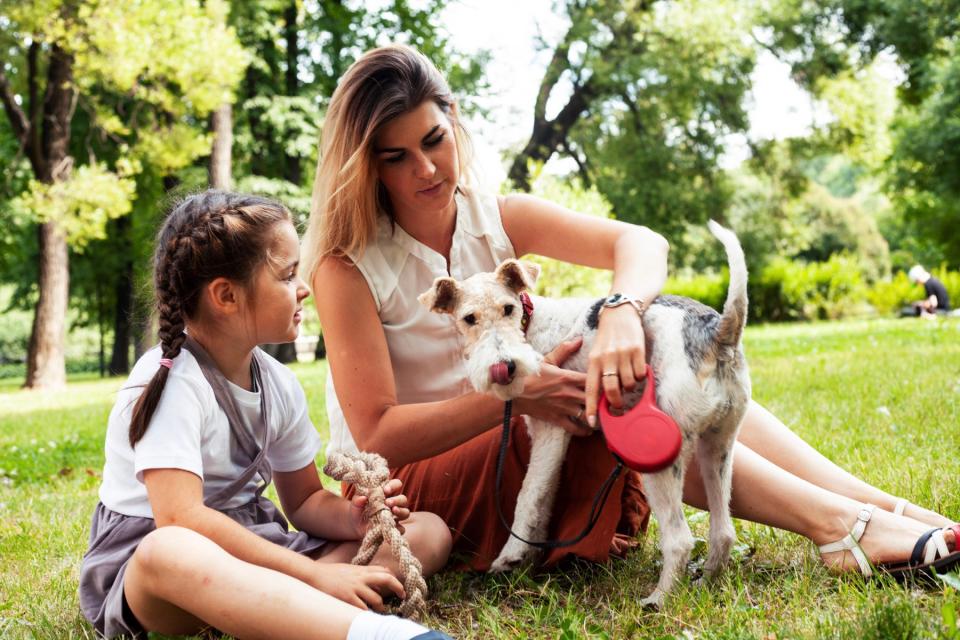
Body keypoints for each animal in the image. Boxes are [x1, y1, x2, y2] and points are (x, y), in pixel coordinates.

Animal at [418, 222, 752, 608]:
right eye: (469, 318)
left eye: (508, 308)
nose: (507, 366)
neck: (531, 324)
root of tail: (719, 333)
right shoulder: (548, 434)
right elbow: (543, 499)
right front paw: (531, 561)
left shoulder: (552, 430)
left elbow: (527, 495)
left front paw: (510, 555)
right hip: (719, 447)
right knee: (723, 531)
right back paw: (705, 583)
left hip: (659, 460)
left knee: (679, 538)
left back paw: (657, 600)